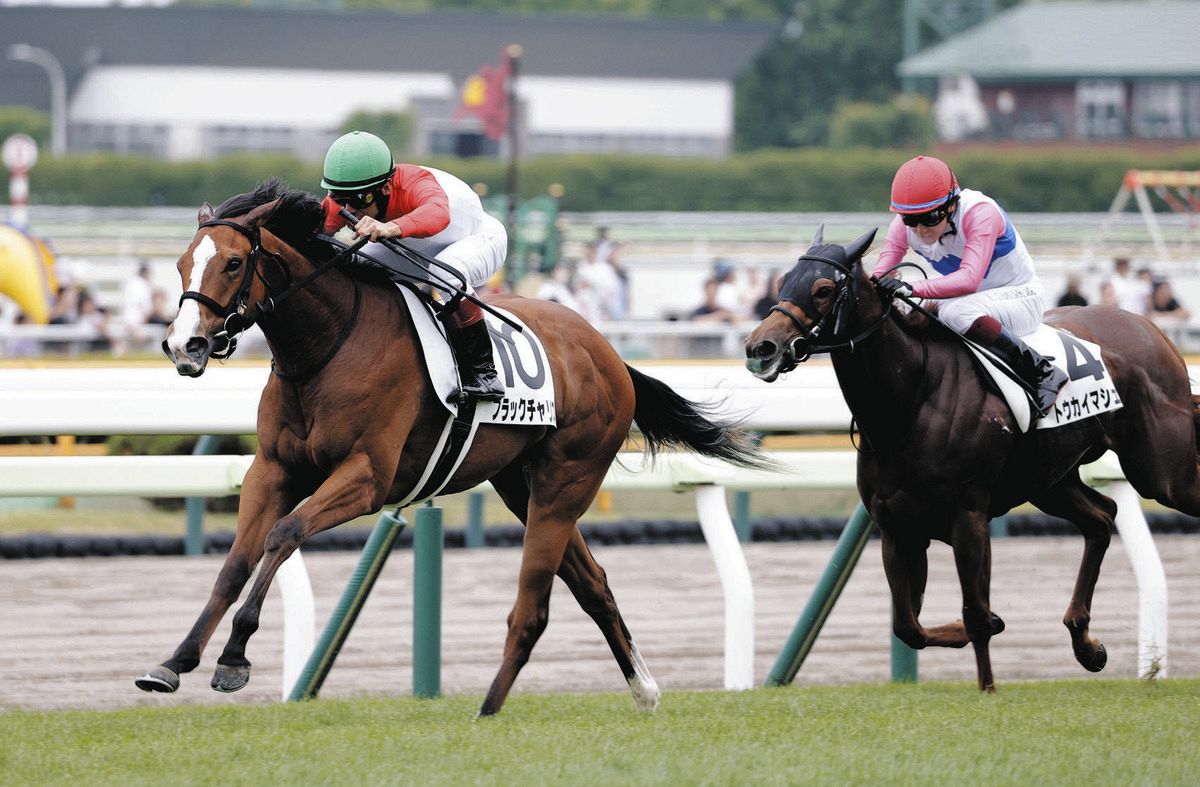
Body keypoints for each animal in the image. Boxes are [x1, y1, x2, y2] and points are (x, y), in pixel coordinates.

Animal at [139, 180, 764, 715]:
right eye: (180, 264)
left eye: (234, 263)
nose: (185, 346)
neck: (327, 345)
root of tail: (608, 353)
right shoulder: (272, 470)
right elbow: (236, 562)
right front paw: (174, 662)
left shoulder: (366, 477)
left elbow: (284, 534)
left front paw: (234, 657)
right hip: (520, 486)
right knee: (593, 585)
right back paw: (644, 691)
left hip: (568, 479)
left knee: (537, 605)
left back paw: (490, 708)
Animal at [744, 227, 1200, 691]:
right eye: (783, 281)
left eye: (822, 289)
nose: (761, 346)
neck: (913, 400)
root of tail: (1151, 329)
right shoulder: (897, 526)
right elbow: (909, 625)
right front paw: (990, 630)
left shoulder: (968, 516)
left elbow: (974, 614)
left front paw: (988, 686)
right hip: (1048, 480)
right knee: (1102, 517)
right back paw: (1086, 644)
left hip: (1163, 475)